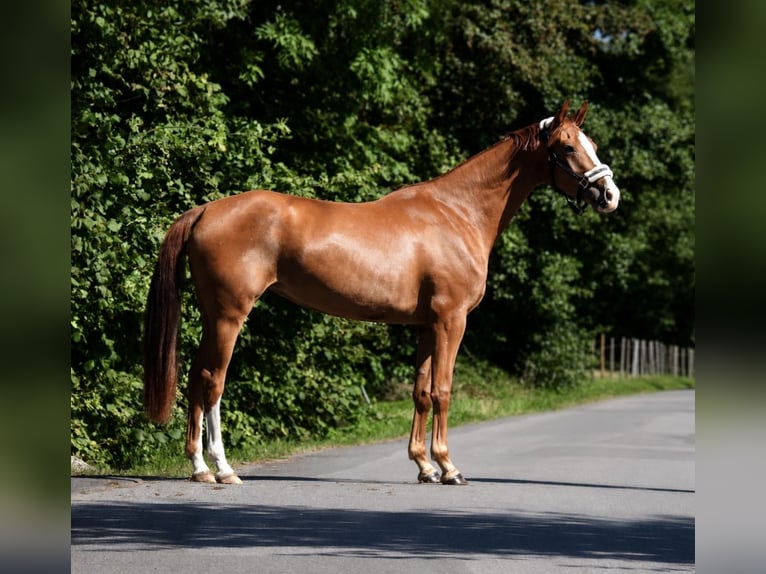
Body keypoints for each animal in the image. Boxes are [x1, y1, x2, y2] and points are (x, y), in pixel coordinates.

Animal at [143, 100, 620, 485]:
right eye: (568, 148)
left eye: (592, 142)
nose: (610, 195)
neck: (457, 212)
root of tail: (206, 209)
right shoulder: (452, 321)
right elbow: (444, 390)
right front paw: (449, 467)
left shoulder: (427, 326)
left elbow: (421, 392)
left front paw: (424, 467)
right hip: (229, 315)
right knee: (213, 381)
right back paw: (222, 469)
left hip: (211, 316)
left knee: (194, 378)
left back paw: (199, 468)